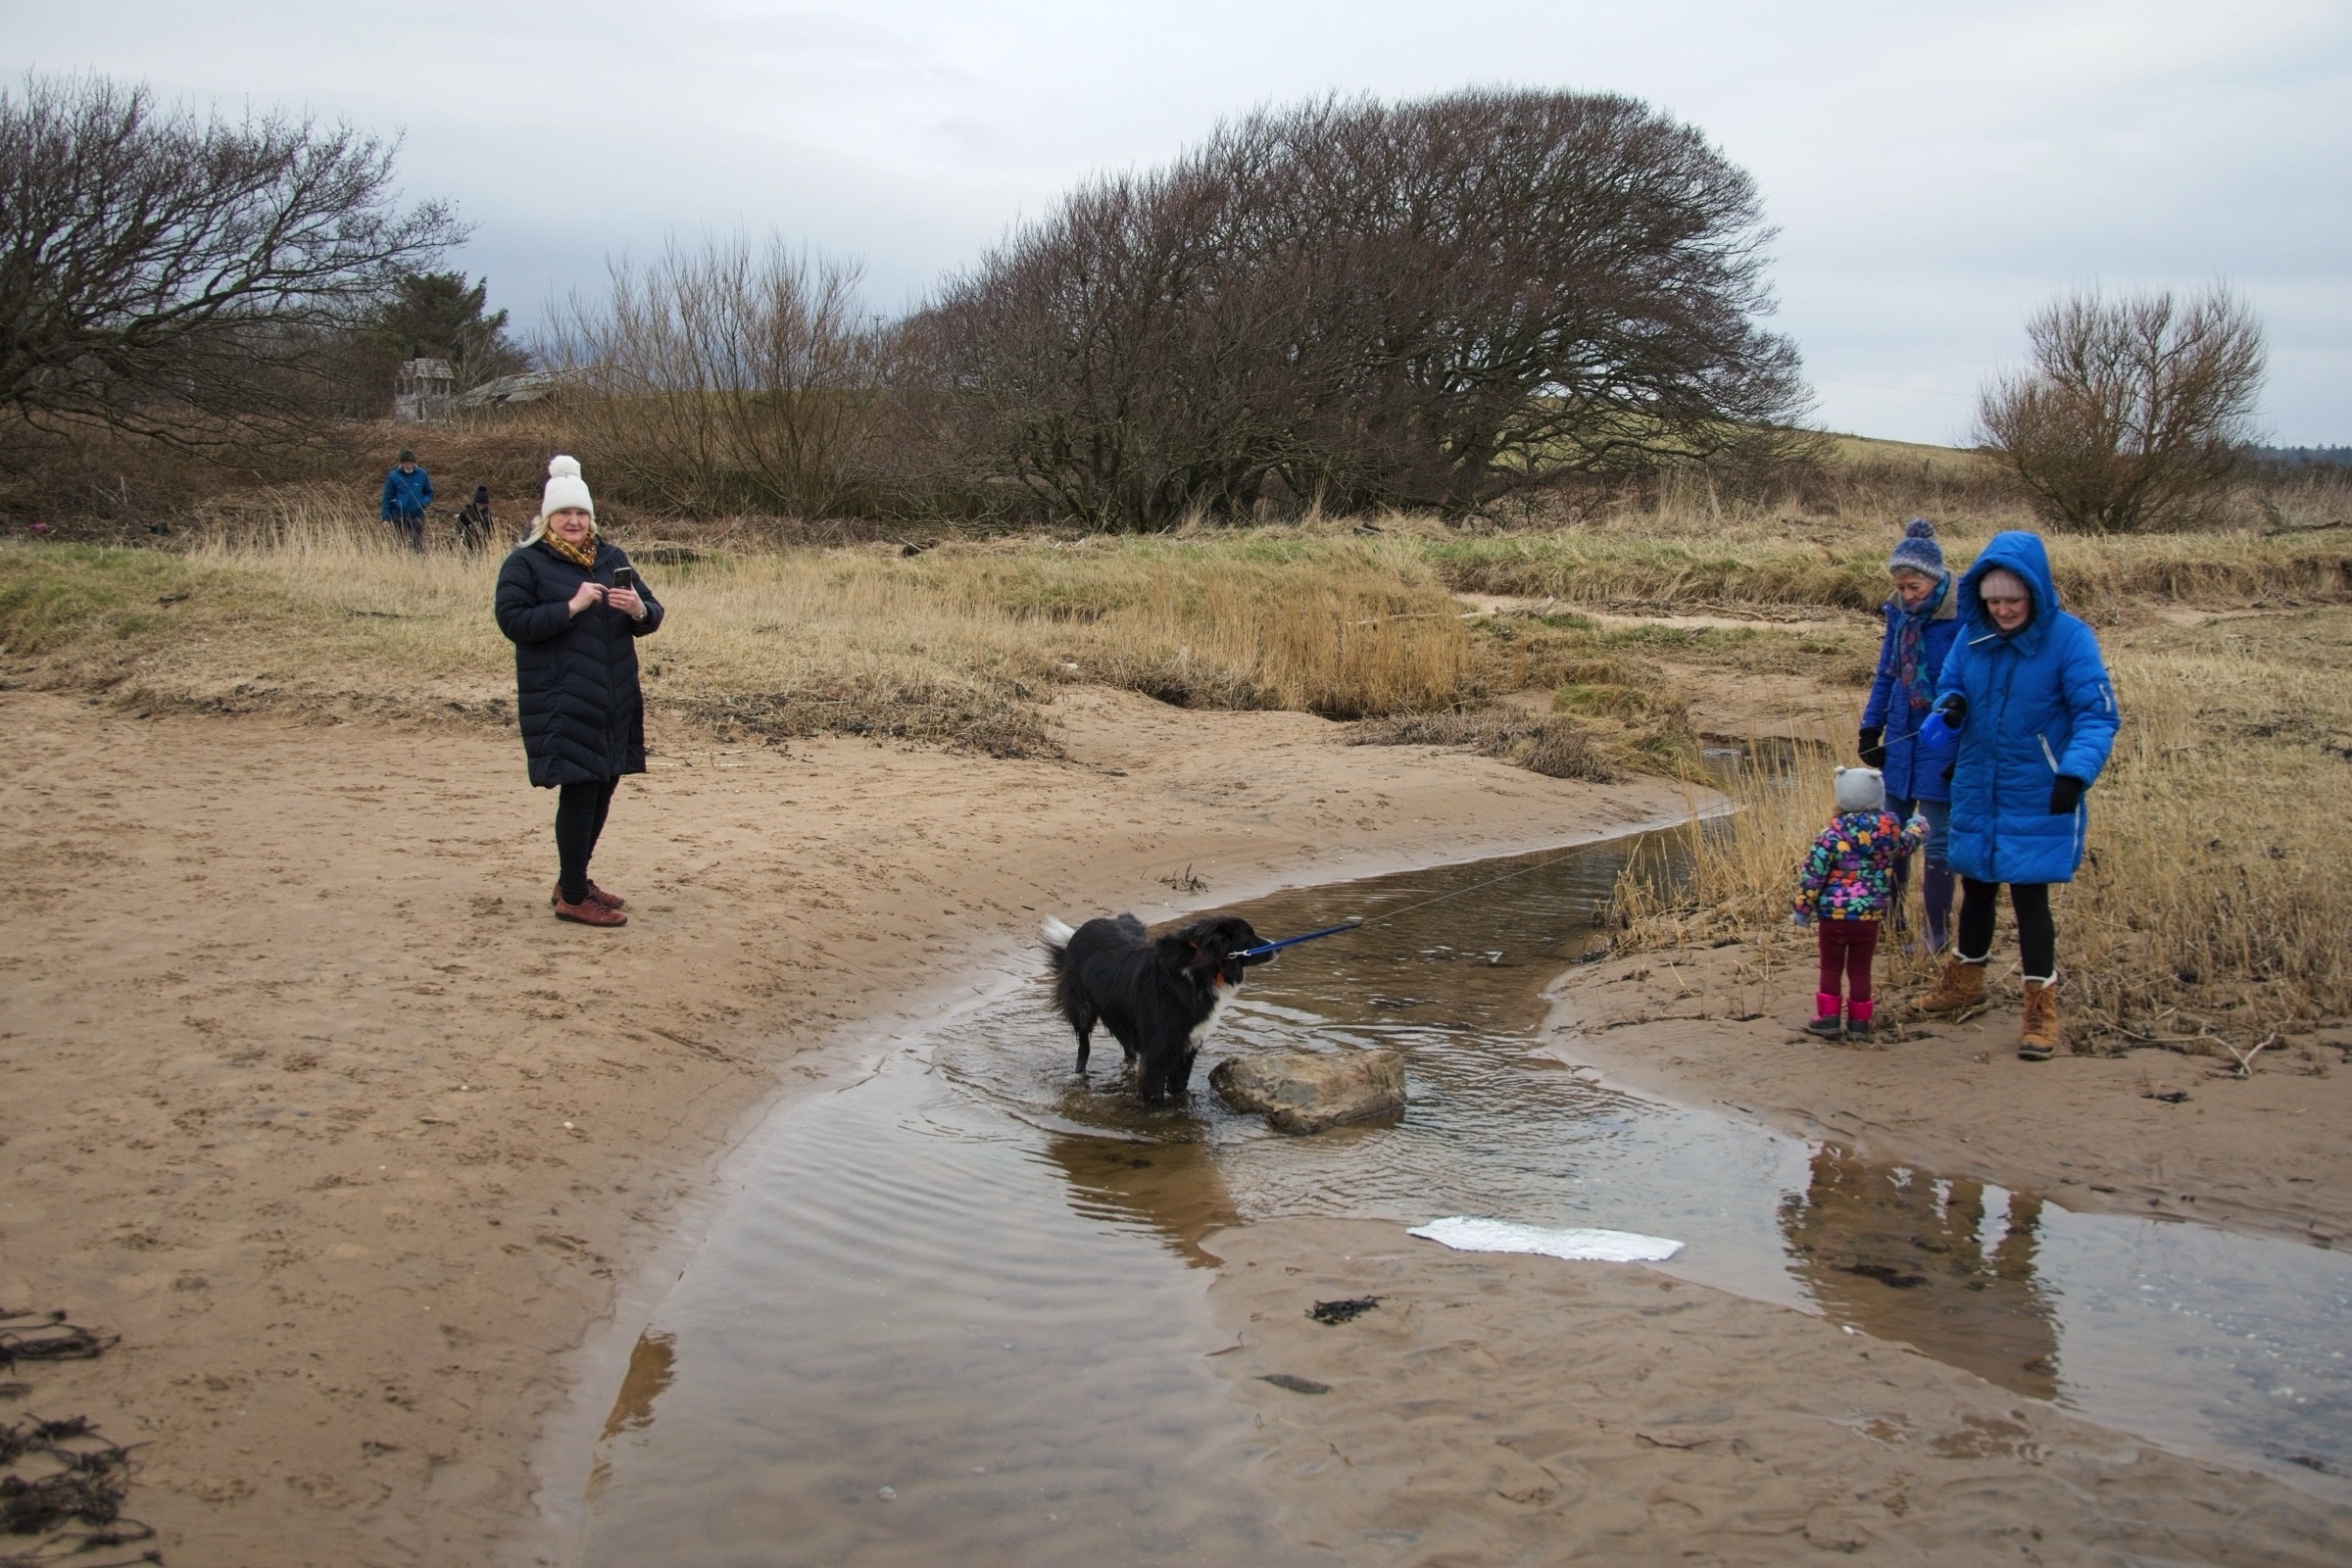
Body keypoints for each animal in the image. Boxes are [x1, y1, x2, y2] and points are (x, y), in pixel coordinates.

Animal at [1040, 912, 1273, 1103]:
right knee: (1084, 1046)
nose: (1276, 946)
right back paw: (1078, 1075)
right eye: (1249, 936)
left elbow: (1179, 1088)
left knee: (1127, 1049)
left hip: (1121, 1015)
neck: (1199, 971)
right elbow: (1153, 1094)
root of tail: (1081, 930)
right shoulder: (1160, 1050)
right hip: (1083, 1009)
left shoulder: (1188, 1044)